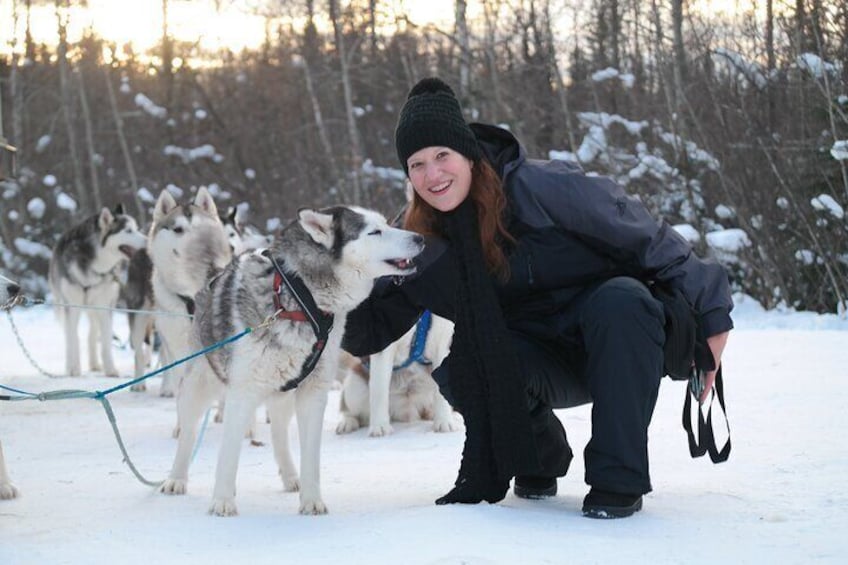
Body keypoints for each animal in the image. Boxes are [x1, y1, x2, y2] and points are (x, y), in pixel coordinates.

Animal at [49, 205, 147, 376]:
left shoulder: (105, 306)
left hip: (95, 306)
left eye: (137, 228)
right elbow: (73, 338)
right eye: (128, 230)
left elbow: (106, 341)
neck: (94, 266)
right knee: (72, 335)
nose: (148, 240)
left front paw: (110, 369)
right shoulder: (71, 306)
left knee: (92, 334)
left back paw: (94, 364)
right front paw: (73, 369)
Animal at [159, 205, 424, 512]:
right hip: (199, 387)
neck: (301, 300)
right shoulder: (242, 393)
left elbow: (311, 456)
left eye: (385, 223)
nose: (420, 238)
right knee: (189, 433)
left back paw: (290, 476)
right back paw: (176, 479)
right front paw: (223, 501)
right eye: (375, 231)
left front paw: (311, 500)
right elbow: (228, 454)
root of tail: (215, 277)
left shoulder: (313, 394)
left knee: (279, 435)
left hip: (282, 394)